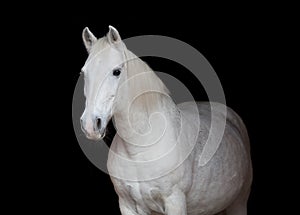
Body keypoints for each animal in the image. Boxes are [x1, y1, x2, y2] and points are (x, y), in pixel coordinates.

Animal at [79, 26, 251, 214]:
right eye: (84, 73)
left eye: (116, 71)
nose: (90, 125)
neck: (139, 147)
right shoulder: (126, 205)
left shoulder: (174, 201)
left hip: (239, 203)